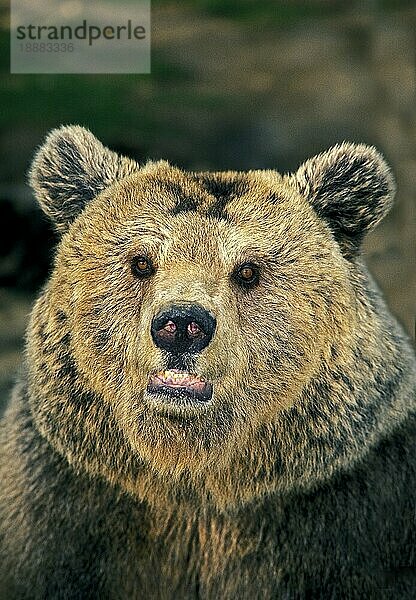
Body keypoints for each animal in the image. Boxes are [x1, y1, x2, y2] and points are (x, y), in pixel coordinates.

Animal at [0, 124, 416, 596]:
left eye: (248, 270)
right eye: (141, 261)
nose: (181, 325)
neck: (196, 480)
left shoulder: (356, 512)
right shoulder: (61, 505)